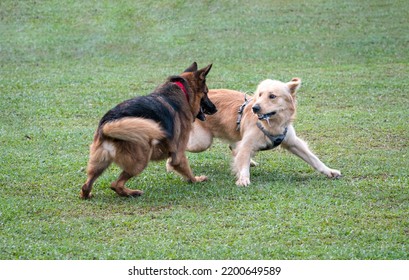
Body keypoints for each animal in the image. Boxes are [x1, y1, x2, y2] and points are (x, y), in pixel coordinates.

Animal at [81, 62, 218, 198]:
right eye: (206, 92)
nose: (215, 109)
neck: (184, 92)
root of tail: (108, 123)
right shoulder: (178, 154)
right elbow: (188, 172)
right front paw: (197, 179)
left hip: (100, 163)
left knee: (86, 186)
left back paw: (89, 194)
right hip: (140, 161)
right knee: (115, 184)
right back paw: (132, 192)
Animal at [185, 77, 342, 186]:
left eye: (272, 96)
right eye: (260, 94)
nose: (255, 108)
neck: (271, 124)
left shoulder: (293, 142)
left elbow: (314, 159)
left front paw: (329, 171)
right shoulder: (247, 144)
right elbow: (243, 162)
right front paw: (243, 179)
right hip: (201, 142)